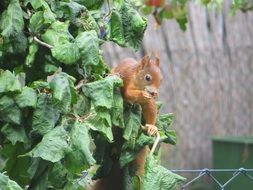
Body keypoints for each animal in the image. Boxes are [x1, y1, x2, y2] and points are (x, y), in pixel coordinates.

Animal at [89, 54, 162, 189]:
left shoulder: (149, 102)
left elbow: (151, 108)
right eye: (147, 77)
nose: (155, 93)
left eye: (161, 79)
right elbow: (128, 93)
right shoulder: (128, 81)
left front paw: (152, 127)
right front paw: (142, 94)